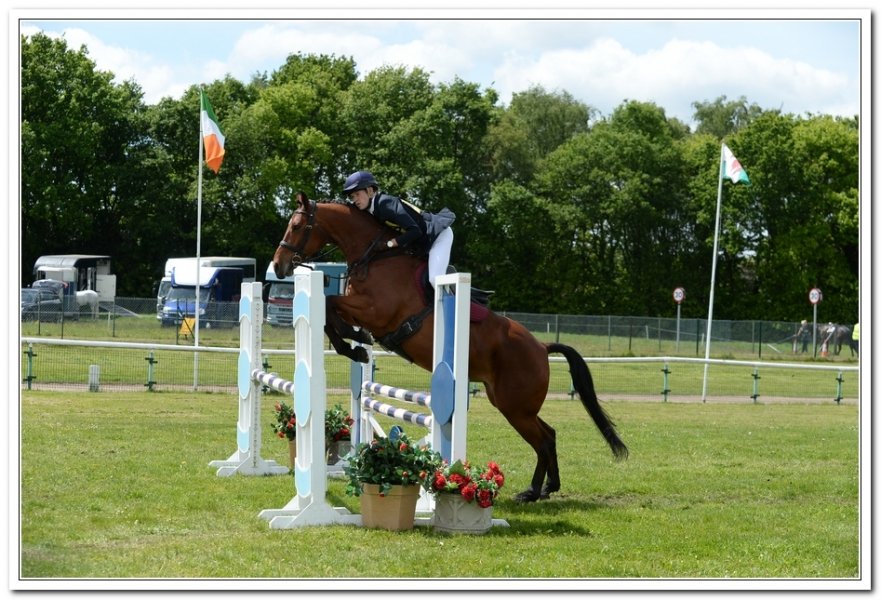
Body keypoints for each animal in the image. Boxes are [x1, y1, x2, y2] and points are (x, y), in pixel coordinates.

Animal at [272, 193, 628, 502]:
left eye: (297, 225)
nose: (278, 266)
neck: (376, 256)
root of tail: (541, 346)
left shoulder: (376, 312)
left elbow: (331, 304)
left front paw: (356, 347)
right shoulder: (361, 310)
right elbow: (330, 312)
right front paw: (355, 347)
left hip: (516, 407)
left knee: (543, 440)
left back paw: (535, 491)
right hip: (510, 404)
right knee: (548, 435)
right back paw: (543, 489)